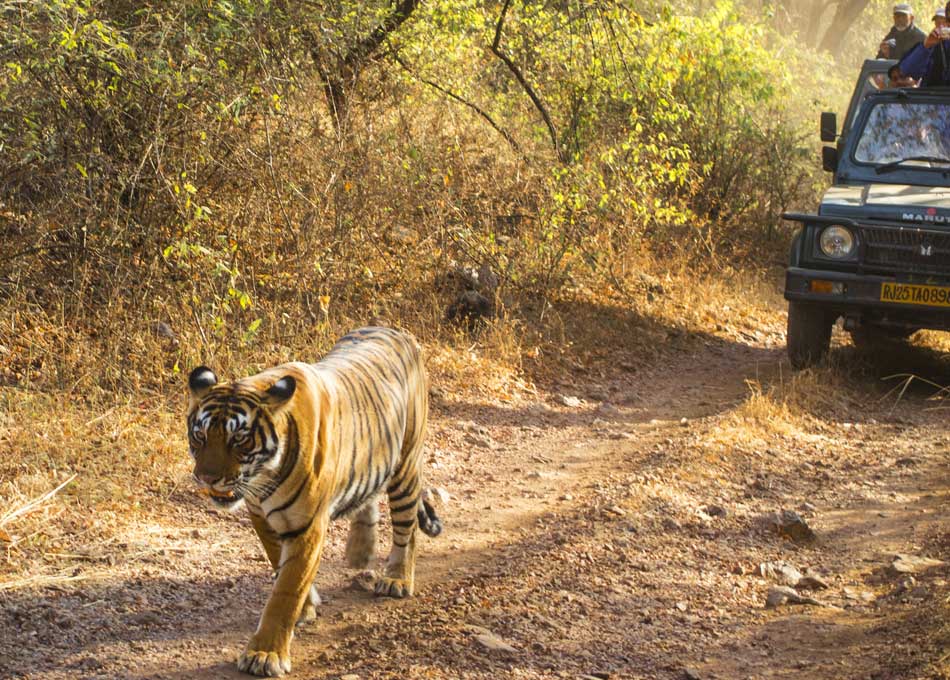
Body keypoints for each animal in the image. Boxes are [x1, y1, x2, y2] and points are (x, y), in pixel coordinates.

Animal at [187, 326, 446, 676]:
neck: (263, 478)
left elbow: (286, 590)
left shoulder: (307, 526)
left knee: (406, 528)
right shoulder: (262, 517)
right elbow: (278, 562)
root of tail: (397, 330)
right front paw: (306, 607)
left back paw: (397, 579)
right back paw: (360, 552)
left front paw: (265, 654)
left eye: (238, 438)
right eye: (200, 435)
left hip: (405, 465)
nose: (207, 478)